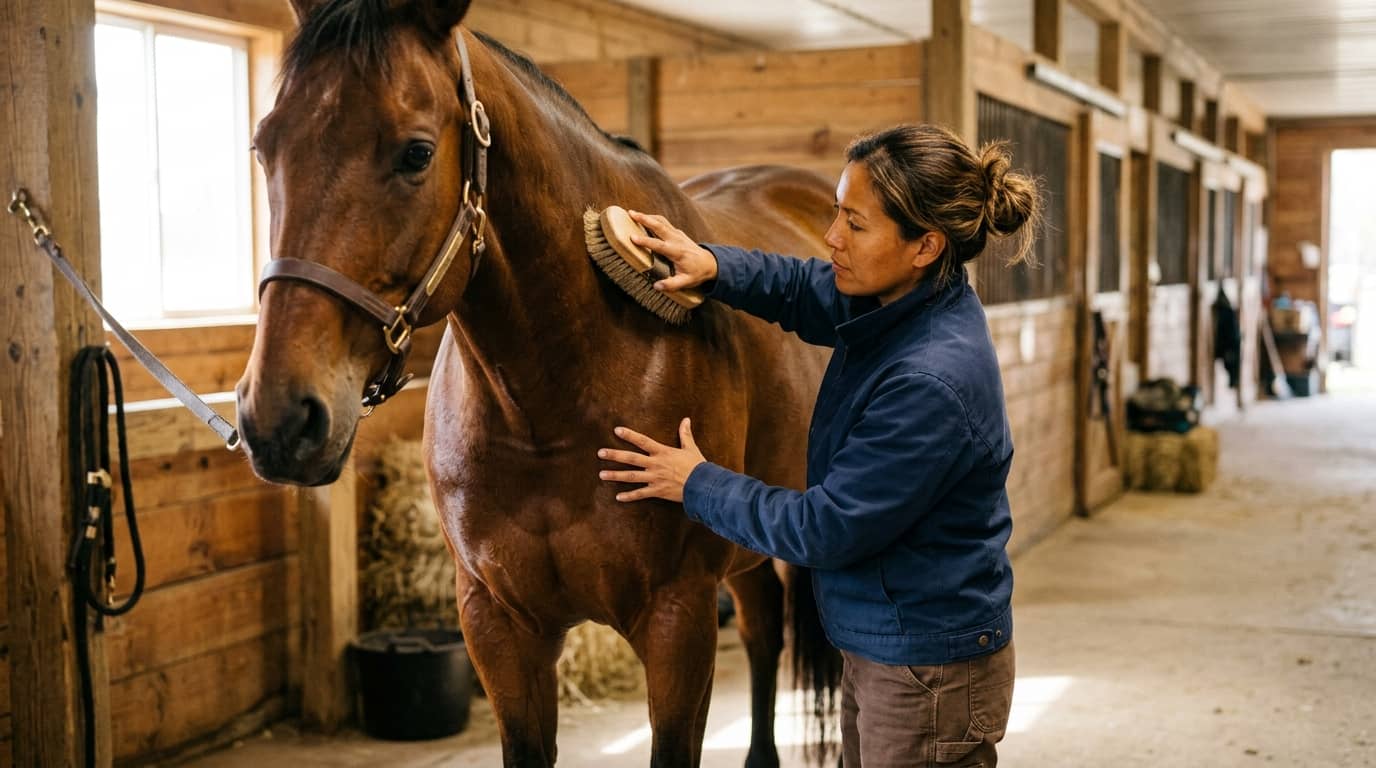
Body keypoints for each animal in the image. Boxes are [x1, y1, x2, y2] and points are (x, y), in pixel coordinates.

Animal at [235, 0, 840, 764]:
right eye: (264, 147)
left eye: (415, 153)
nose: (280, 419)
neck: (550, 406)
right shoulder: (498, 623)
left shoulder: (679, 620)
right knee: (763, 634)